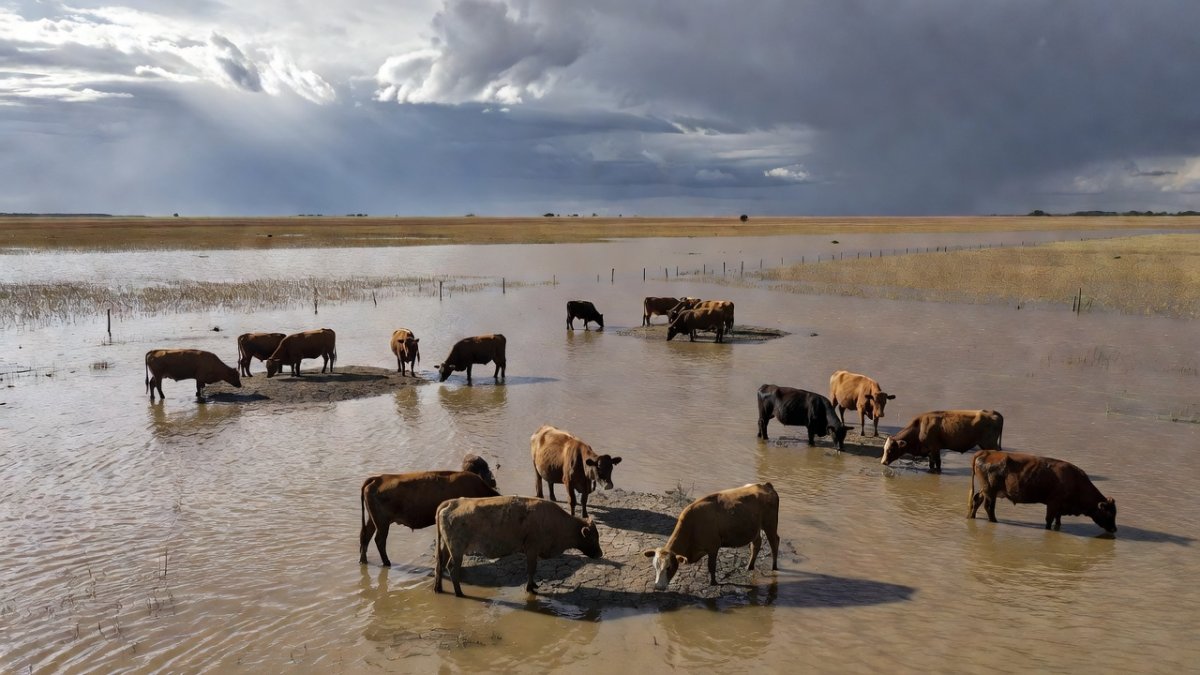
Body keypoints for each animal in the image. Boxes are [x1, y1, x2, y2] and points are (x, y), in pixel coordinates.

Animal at [359, 457, 501, 566]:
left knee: (365, 536)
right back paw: (387, 563)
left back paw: (363, 561)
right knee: (379, 540)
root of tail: (378, 479)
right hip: (382, 523)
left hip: (373, 520)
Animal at [434, 496, 602, 597]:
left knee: (440, 565)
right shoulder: (532, 549)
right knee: (451, 568)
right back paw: (459, 593)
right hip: (457, 550)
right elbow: (531, 569)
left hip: (446, 547)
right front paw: (531, 588)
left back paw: (439, 589)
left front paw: (533, 585)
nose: (600, 554)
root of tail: (452, 502)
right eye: (593, 538)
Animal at [642, 482, 779, 590]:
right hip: (755, 528)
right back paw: (749, 567)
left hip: (770, 524)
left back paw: (774, 567)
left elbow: (711, 566)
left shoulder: (713, 547)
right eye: (655, 566)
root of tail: (765, 485)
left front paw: (713, 582)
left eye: (669, 567)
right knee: (756, 544)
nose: (658, 587)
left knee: (774, 542)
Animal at [969, 450, 1117, 533]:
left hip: (986, 491)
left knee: (977, 500)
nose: (1114, 529)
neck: (1076, 482)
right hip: (990, 492)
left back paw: (971, 516)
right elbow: (1049, 520)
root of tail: (986, 452)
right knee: (989, 507)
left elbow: (1058, 519)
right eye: (1109, 514)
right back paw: (994, 521)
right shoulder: (1053, 504)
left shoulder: (1059, 507)